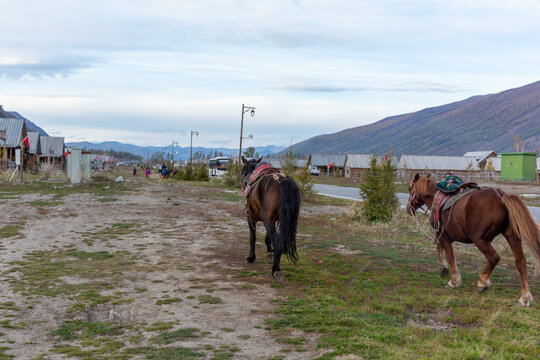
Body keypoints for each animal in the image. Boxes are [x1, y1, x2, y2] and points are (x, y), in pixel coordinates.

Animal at [404, 174, 540, 306]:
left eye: (410, 189)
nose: (408, 208)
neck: (436, 198)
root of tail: (500, 197)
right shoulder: (443, 236)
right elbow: (439, 248)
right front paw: (443, 269)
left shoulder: (443, 236)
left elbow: (449, 255)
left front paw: (452, 279)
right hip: (512, 236)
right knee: (520, 261)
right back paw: (524, 297)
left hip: (479, 239)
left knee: (494, 257)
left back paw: (482, 282)